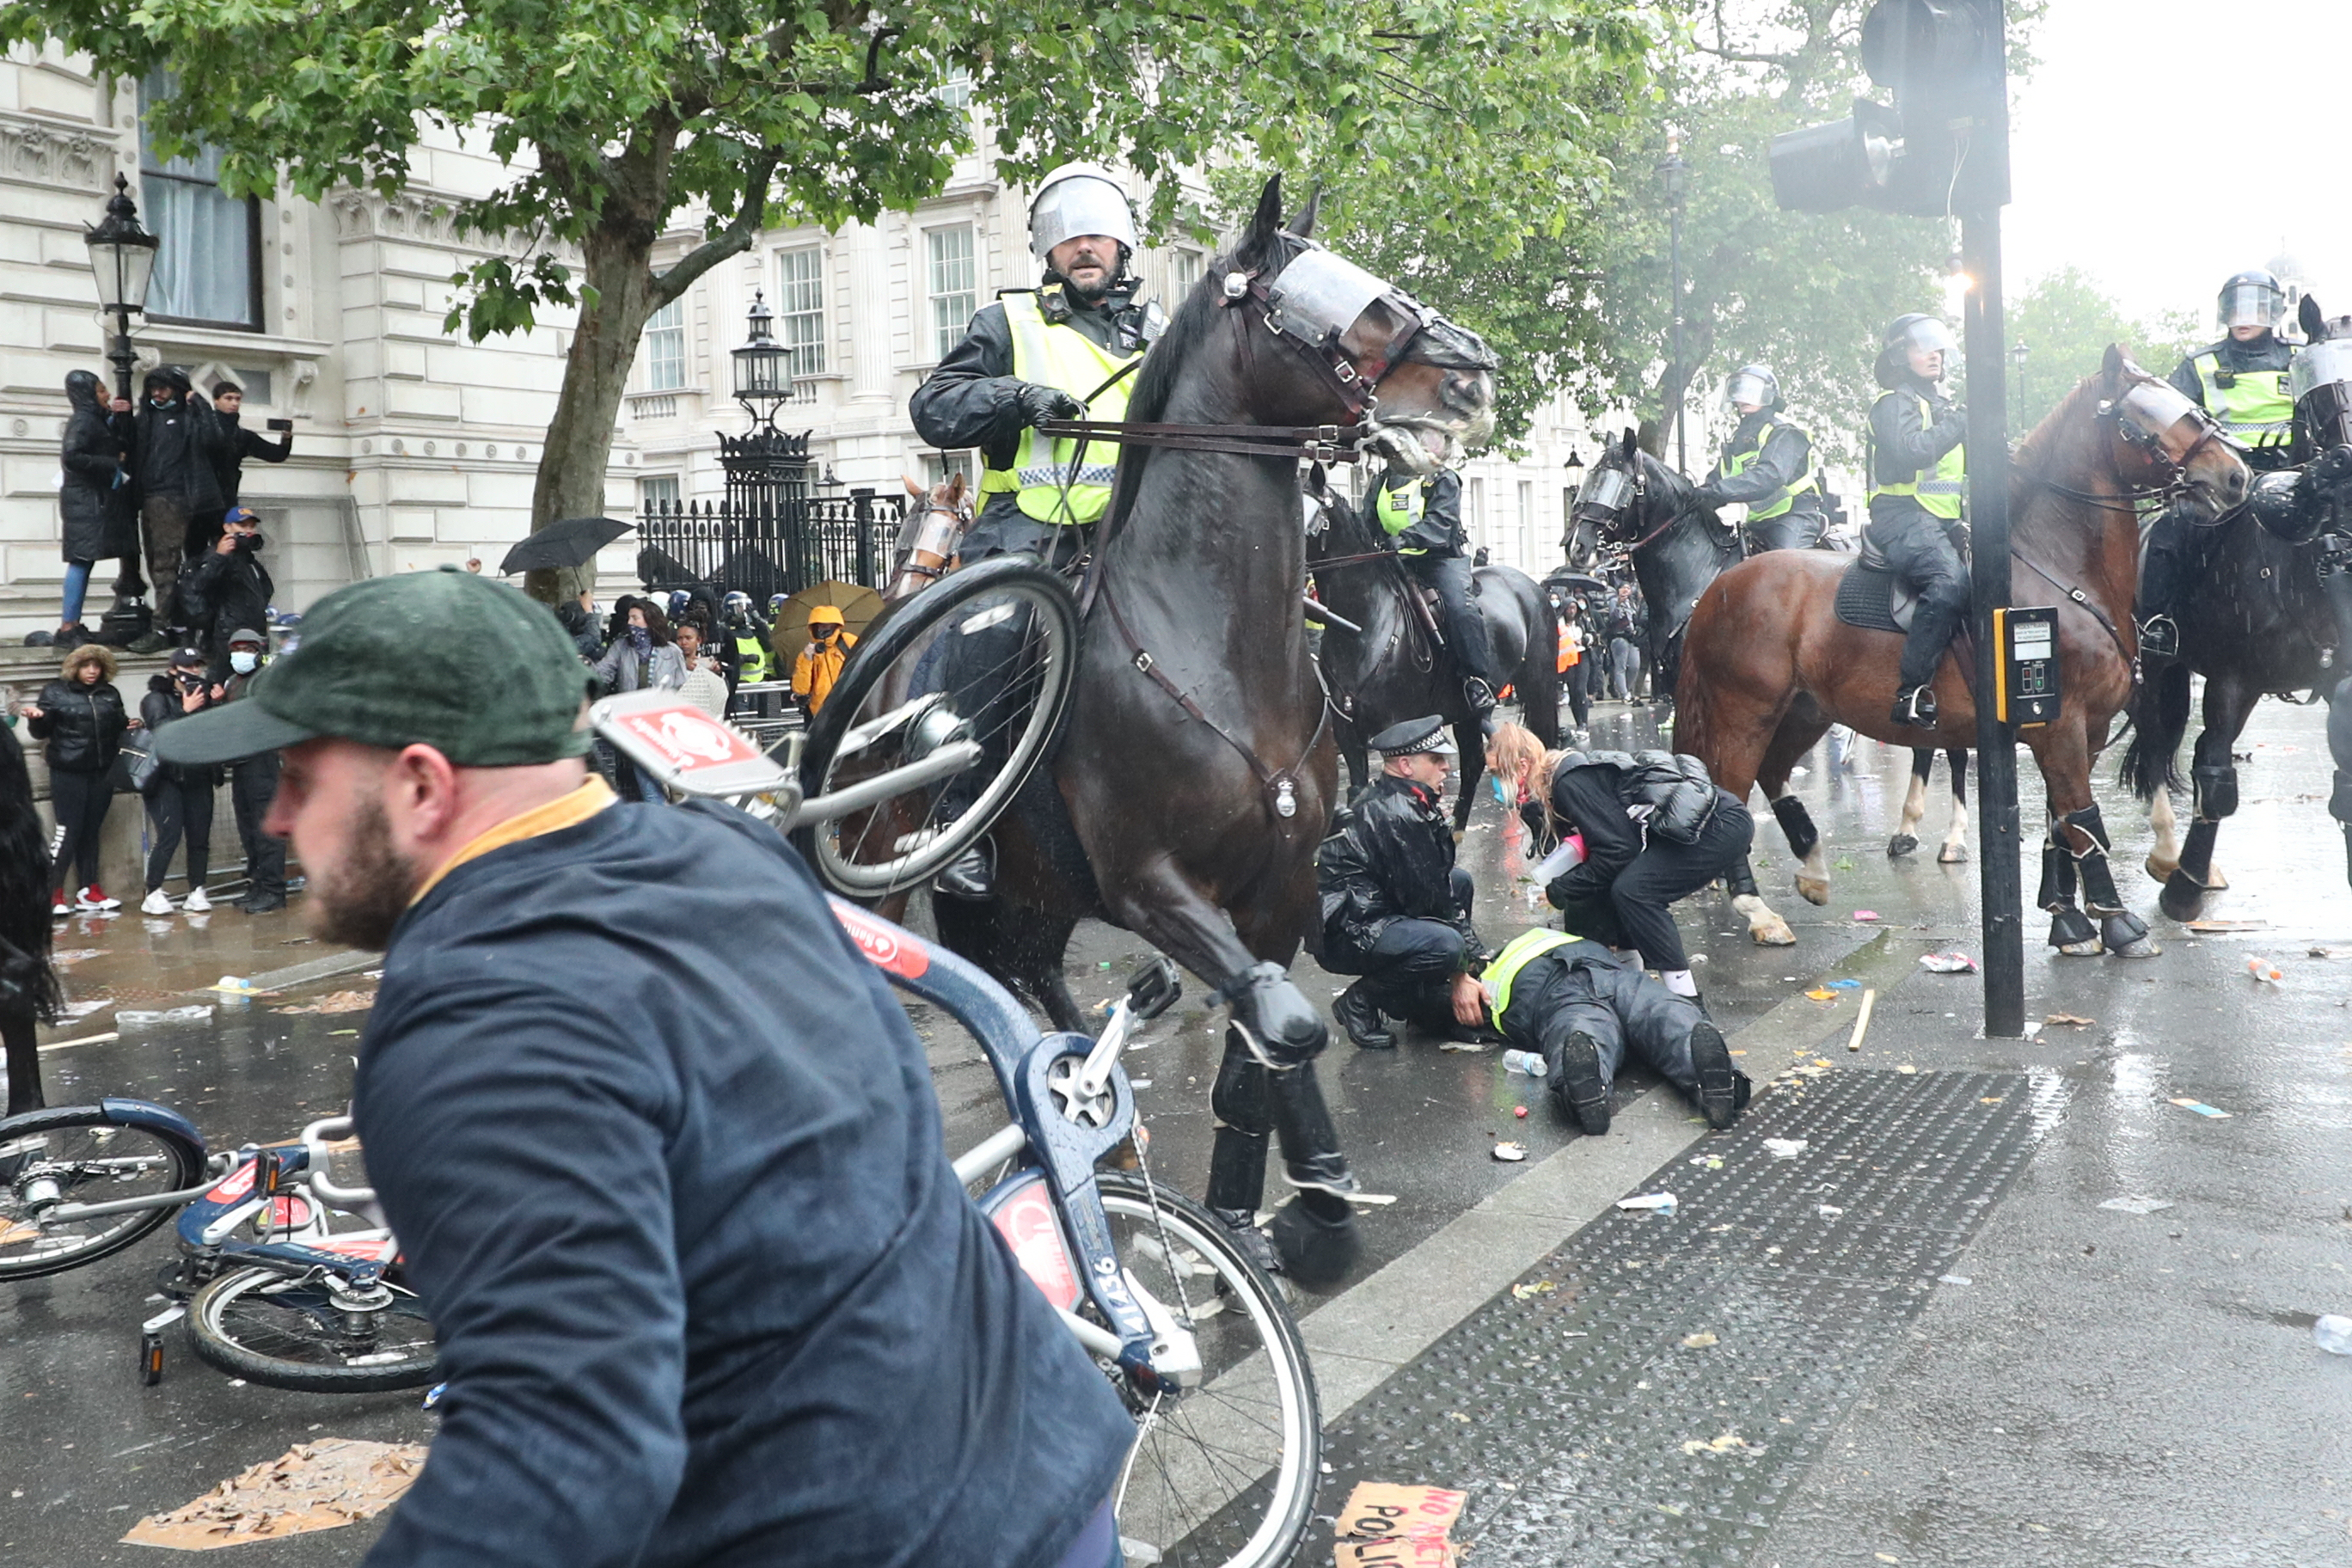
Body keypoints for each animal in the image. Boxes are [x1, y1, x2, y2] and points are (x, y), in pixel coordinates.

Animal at [1683, 345, 2248, 959]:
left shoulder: (2088, 730)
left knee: (1773, 772)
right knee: (1730, 791)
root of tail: (1719, 587)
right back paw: (1757, 909)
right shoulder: (2061, 726)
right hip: (1744, 711)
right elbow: (2082, 816)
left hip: (1805, 711)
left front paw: (2069, 921)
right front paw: (2117, 922)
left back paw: (1811, 867)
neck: (2059, 570)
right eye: (2143, 416)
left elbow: (2062, 823)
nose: (2236, 475)